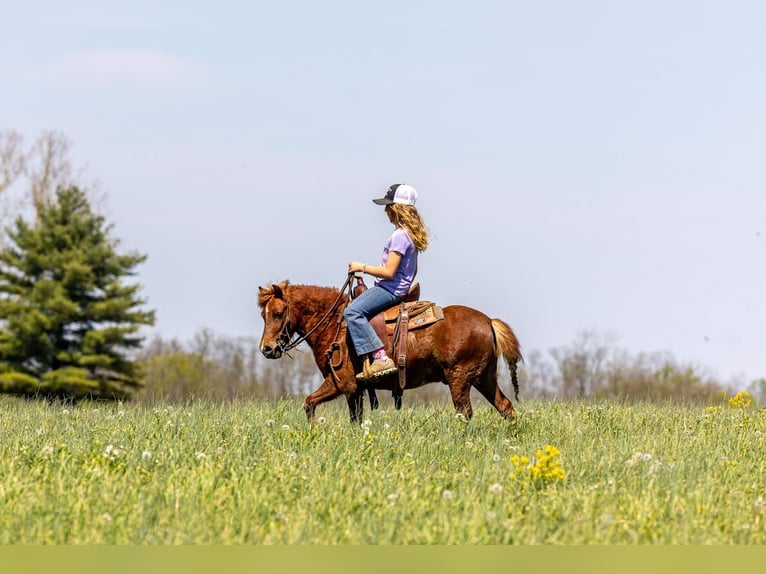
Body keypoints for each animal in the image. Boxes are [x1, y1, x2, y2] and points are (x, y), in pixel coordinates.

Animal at [257, 278, 523, 424]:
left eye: (278, 313)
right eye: (263, 315)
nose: (266, 349)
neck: (335, 324)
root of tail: (488, 321)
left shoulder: (341, 384)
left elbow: (309, 403)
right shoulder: (356, 391)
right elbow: (354, 419)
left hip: (460, 379)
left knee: (465, 412)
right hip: (483, 378)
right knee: (505, 406)